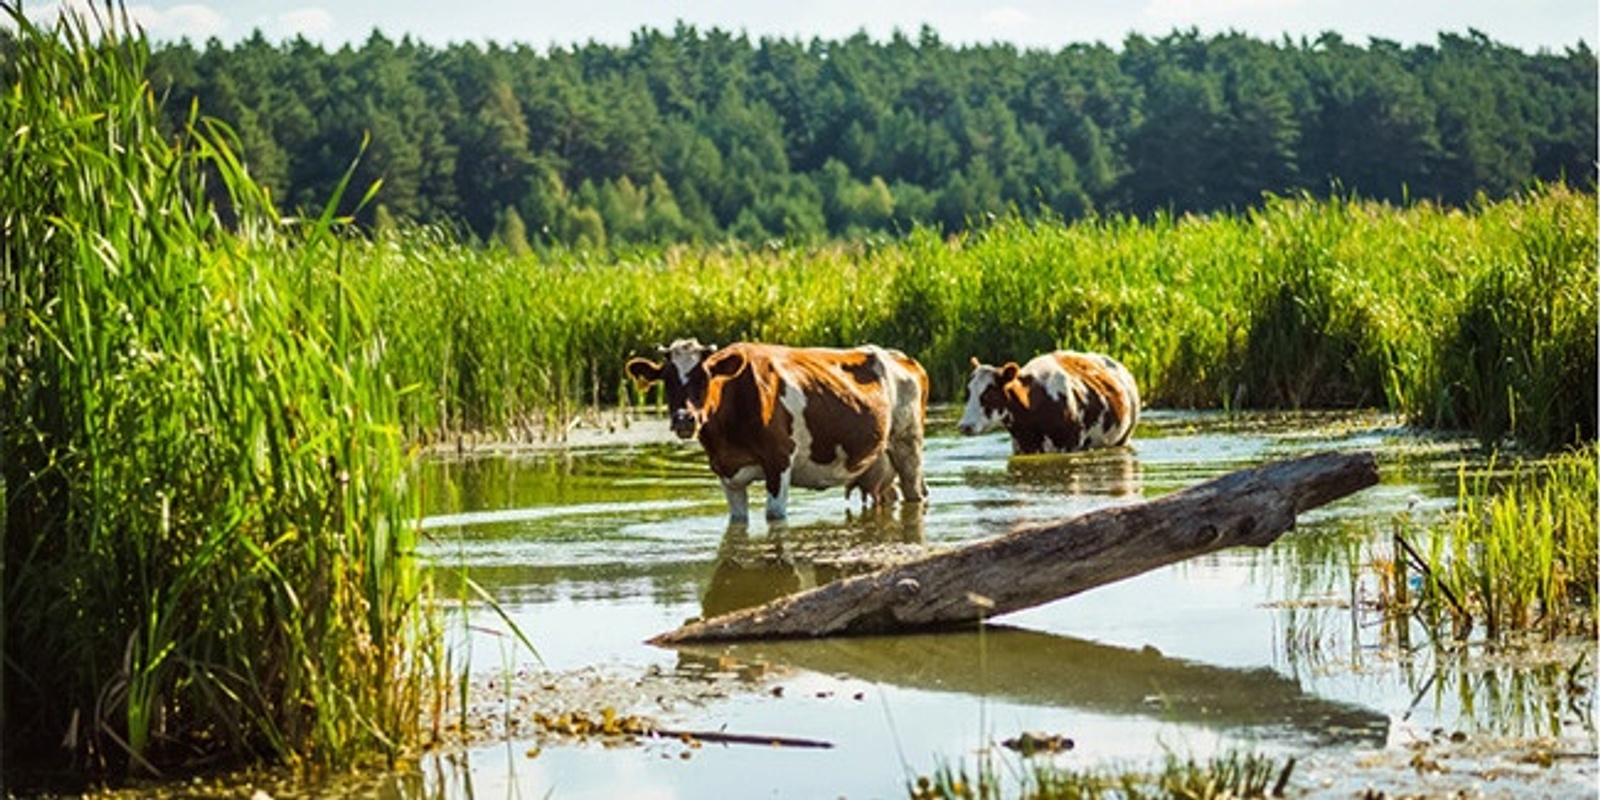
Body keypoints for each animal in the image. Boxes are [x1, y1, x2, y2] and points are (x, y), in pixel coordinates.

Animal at [620, 339, 928, 521]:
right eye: (667, 379)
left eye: (705, 377)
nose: (685, 419)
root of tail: (901, 356)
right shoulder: (726, 472)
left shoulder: (778, 461)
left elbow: (774, 516)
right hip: (880, 463)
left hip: (908, 445)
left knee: (916, 494)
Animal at [953, 352, 1145, 457]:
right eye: (968, 393)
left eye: (989, 394)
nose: (965, 426)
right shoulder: (1021, 447)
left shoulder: (1070, 445)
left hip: (1124, 438)